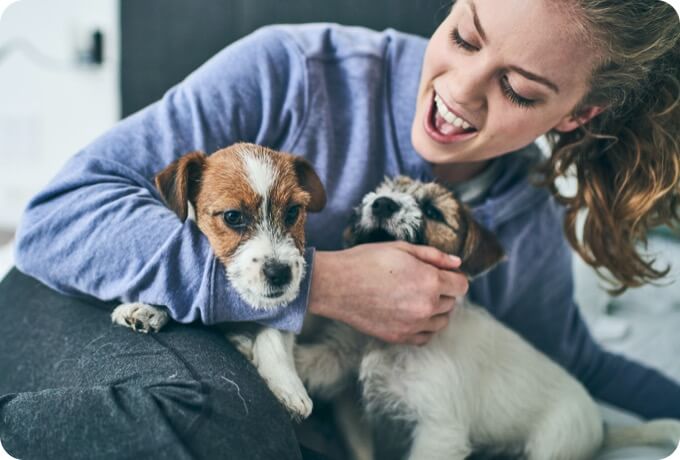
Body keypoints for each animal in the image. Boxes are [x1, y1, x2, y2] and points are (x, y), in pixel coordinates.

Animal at [109, 144, 326, 420]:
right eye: (233, 216)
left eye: (293, 212)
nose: (280, 273)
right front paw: (148, 307)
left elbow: (274, 332)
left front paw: (287, 385)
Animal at [296, 176, 680, 460]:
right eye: (384, 189)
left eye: (433, 211)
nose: (381, 203)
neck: (385, 341)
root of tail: (600, 427)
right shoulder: (339, 360)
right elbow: (310, 364)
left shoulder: (439, 430)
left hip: (551, 446)